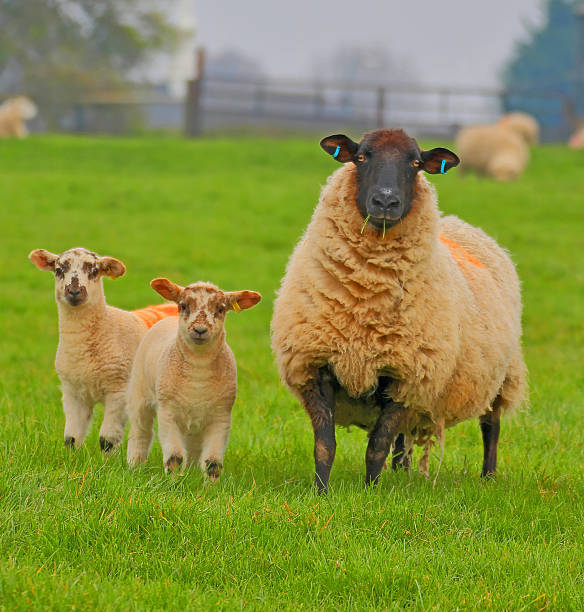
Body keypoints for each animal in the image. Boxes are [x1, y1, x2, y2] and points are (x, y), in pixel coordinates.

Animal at [28, 246, 178, 452]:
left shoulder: (119, 390)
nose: (74, 291)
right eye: (59, 270)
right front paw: (71, 457)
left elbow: (107, 440)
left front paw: (107, 459)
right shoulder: (72, 392)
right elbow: (71, 438)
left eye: (94, 271)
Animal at [126, 278, 262, 482]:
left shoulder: (221, 417)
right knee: (140, 431)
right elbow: (174, 457)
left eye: (221, 308)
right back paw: (134, 465)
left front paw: (210, 487)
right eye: (183, 305)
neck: (198, 372)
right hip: (140, 393)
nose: (199, 330)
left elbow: (213, 462)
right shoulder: (168, 413)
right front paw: (172, 483)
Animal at [272, 128, 528, 492]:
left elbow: (377, 444)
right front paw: (321, 492)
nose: (385, 202)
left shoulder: (407, 375)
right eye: (361, 157)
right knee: (404, 438)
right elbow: (325, 444)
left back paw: (488, 476)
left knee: (490, 426)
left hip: (500, 374)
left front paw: (370, 492)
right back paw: (401, 471)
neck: (366, 298)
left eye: (416, 163)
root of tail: (459, 224)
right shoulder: (315, 365)